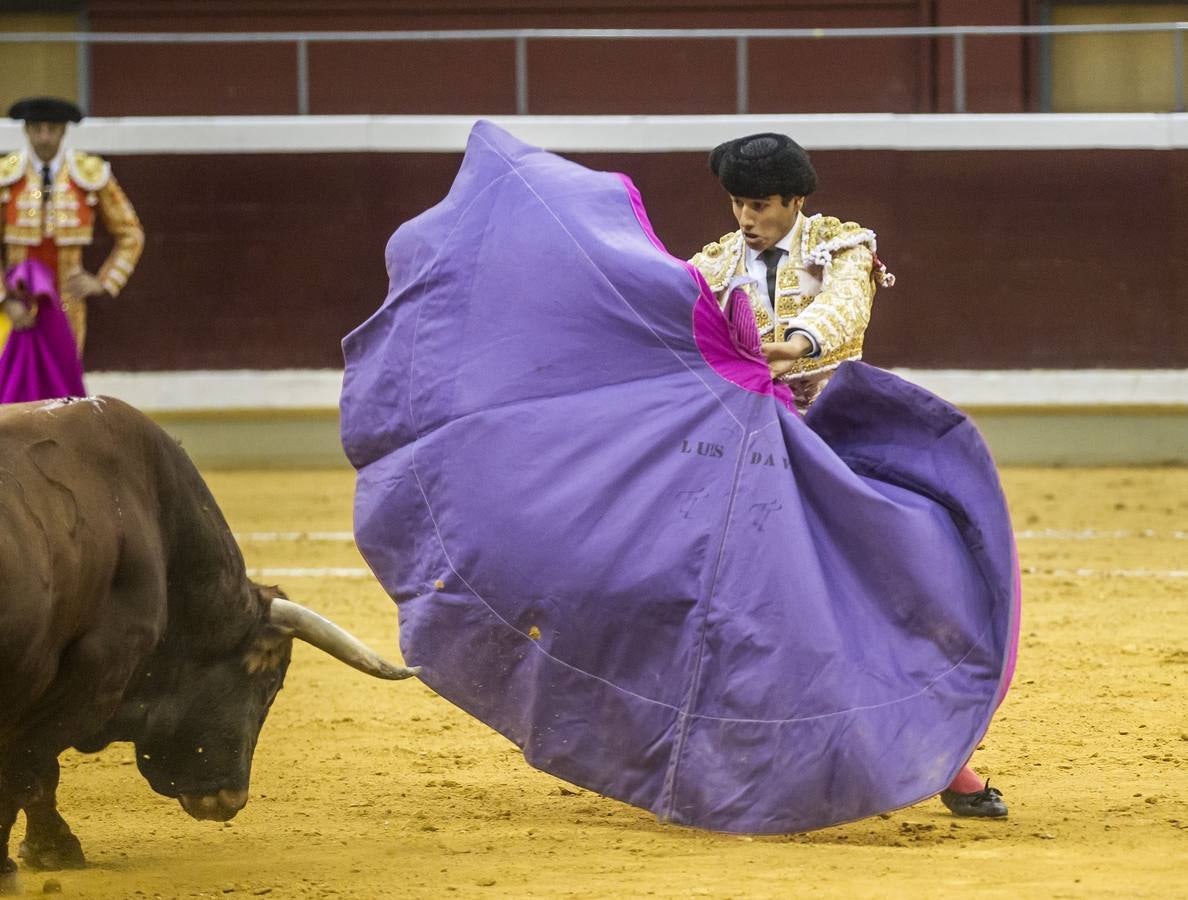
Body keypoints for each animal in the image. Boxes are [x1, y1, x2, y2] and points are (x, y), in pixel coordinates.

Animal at [0, 398, 418, 892]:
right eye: (269, 684)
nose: (231, 798)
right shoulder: (93, 681)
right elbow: (29, 770)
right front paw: (36, 856)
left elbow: (34, 774)